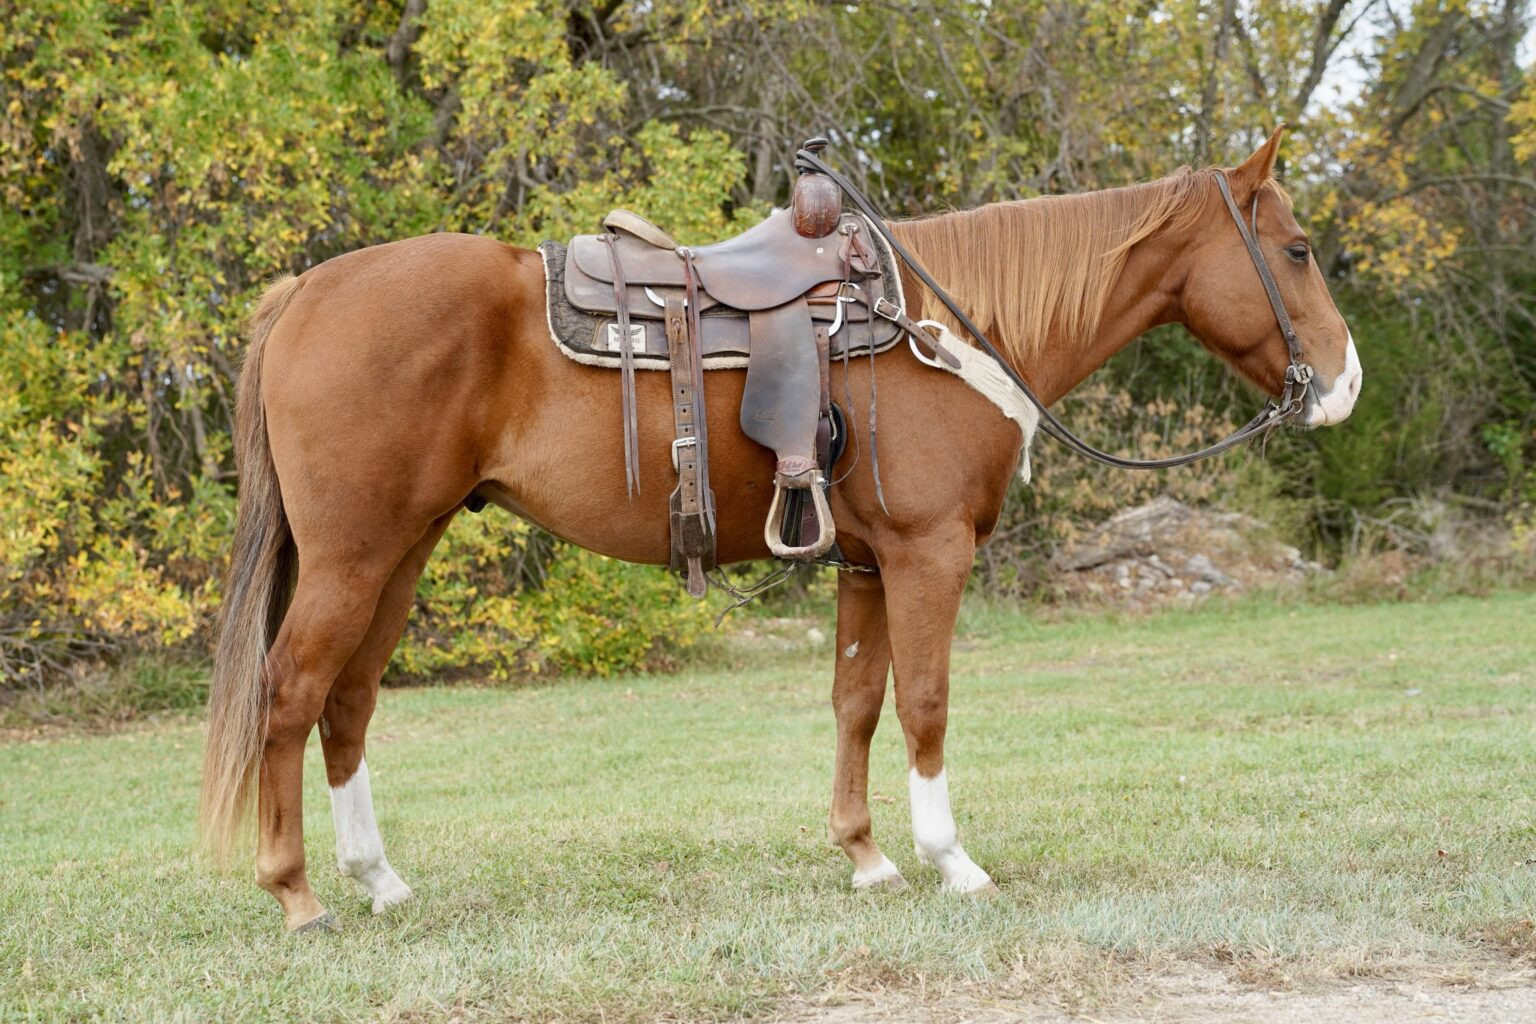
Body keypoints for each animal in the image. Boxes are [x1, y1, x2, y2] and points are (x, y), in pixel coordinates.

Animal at [200, 128, 1362, 931]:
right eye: (1299, 249)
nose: (1344, 385)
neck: (946, 326)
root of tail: (304, 292)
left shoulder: (866, 562)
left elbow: (856, 703)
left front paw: (868, 859)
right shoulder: (930, 553)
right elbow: (926, 703)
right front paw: (952, 863)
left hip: (404, 549)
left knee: (348, 702)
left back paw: (381, 880)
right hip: (354, 555)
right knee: (292, 693)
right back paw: (298, 895)